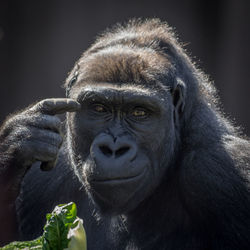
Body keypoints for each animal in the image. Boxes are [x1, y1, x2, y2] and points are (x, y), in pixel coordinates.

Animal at [0, 18, 250, 249]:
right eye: (99, 108)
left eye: (139, 112)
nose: (113, 149)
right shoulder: (43, 177)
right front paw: (19, 140)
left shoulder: (219, 169)